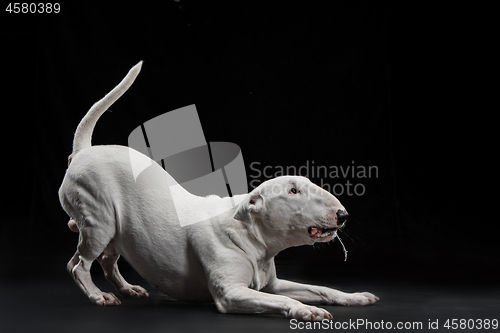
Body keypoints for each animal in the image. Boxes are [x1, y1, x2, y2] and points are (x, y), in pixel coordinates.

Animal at [58, 61, 376, 320]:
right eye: (293, 191)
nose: (343, 214)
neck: (253, 239)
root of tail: (84, 152)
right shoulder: (232, 293)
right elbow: (282, 300)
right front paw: (307, 310)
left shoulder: (272, 283)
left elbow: (319, 288)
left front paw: (354, 296)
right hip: (98, 220)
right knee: (78, 264)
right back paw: (99, 295)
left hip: (116, 230)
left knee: (104, 261)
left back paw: (127, 289)